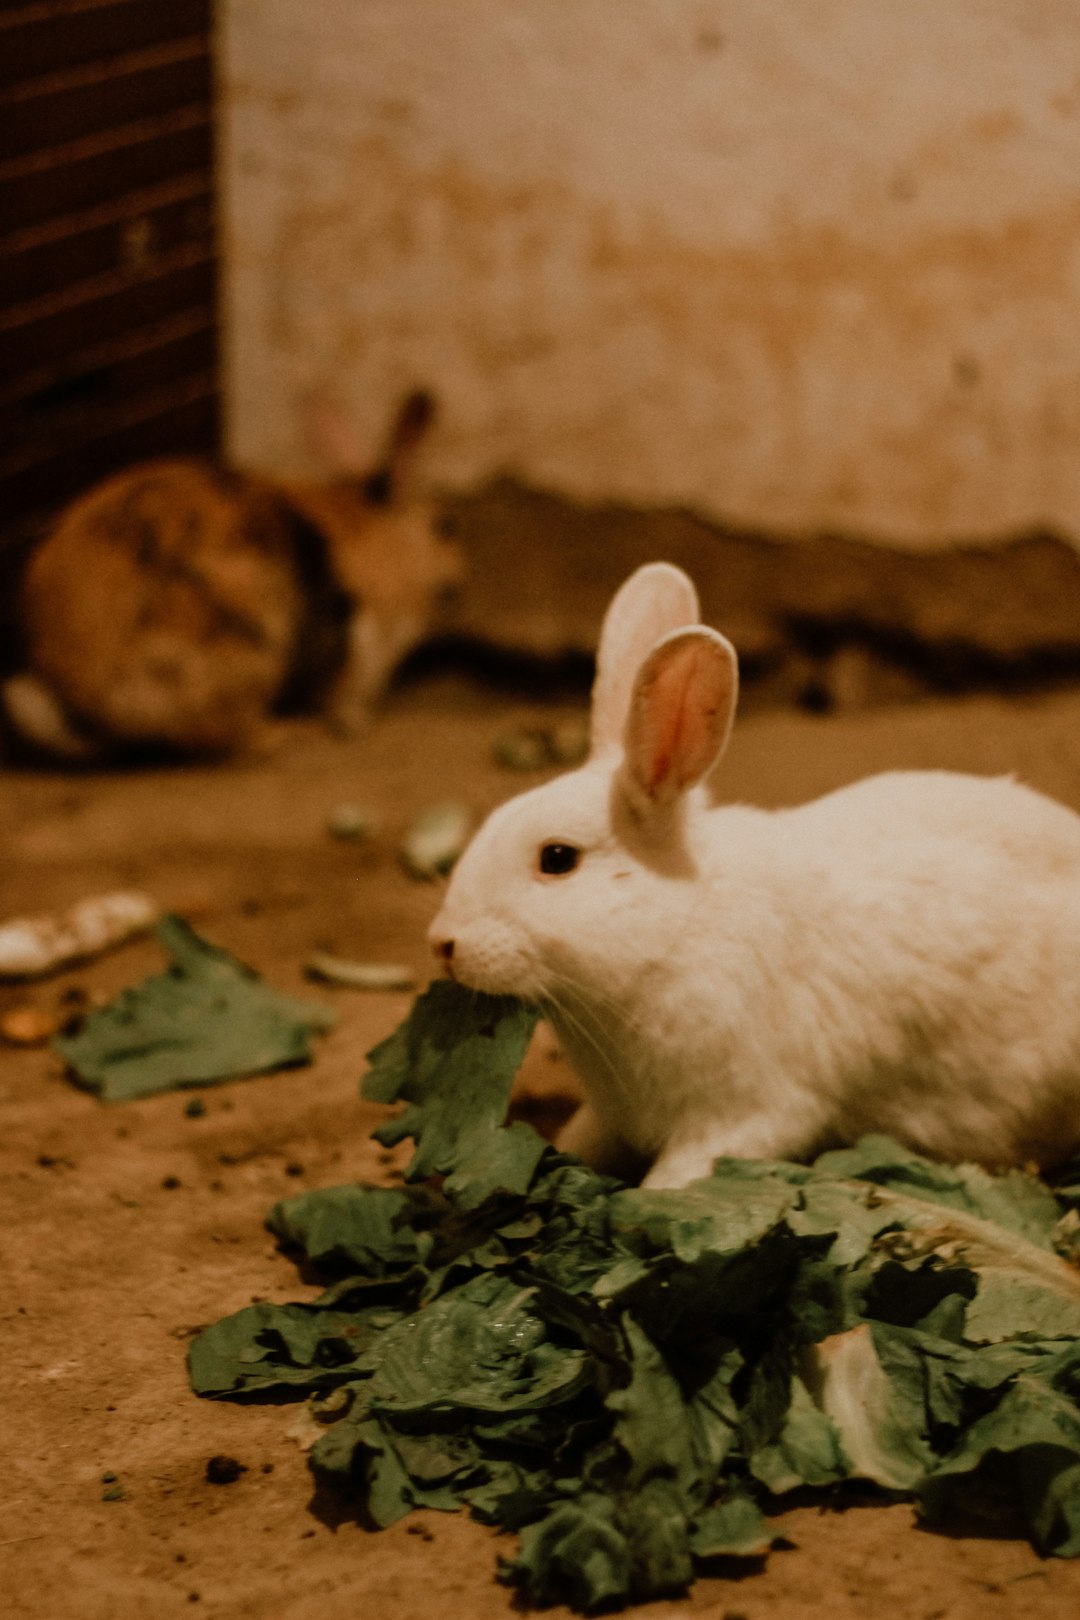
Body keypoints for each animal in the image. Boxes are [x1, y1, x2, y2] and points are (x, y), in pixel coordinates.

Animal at [0, 390, 459, 758]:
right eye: (444, 527)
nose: (459, 580)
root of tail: (77, 690)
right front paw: (352, 722)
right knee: (229, 739)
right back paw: (297, 734)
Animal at [424, 563, 1080, 1185]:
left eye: (557, 858)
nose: (443, 943)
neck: (677, 932)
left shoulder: (745, 1114)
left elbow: (674, 1180)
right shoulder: (614, 1116)